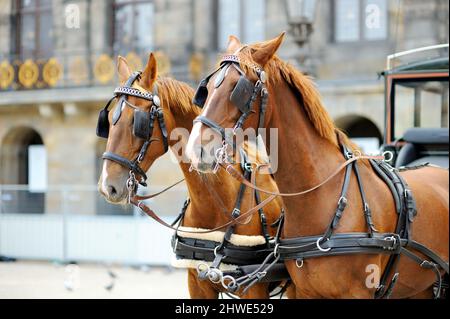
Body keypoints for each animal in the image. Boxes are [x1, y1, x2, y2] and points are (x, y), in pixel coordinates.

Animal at [97, 53, 292, 300]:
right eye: (109, 122)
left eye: (136, 122)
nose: (107, 186)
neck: (218, 203)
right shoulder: (197, 282)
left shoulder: (254, 287)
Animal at [185, 35, 448, 300]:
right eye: (207, 89)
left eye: (237, 88)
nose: (196, 148)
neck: (320, 196)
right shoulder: (304, 291)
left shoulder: (358, 292)